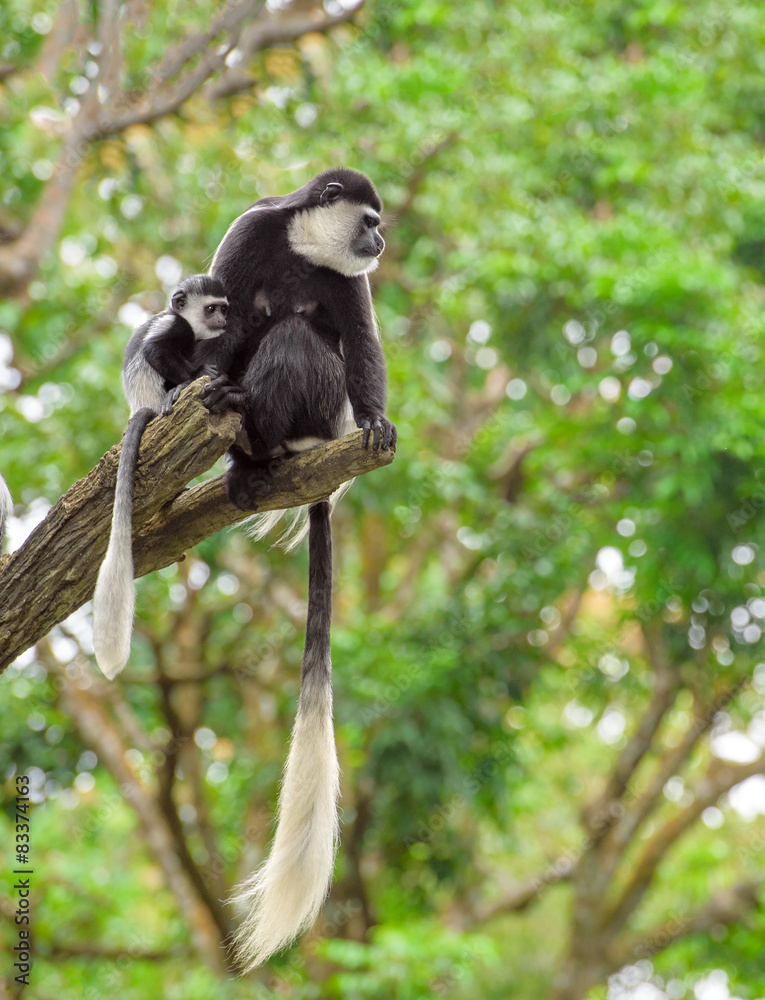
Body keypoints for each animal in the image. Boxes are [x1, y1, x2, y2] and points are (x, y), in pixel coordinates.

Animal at [93, 274, 230, 680]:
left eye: (224, 307)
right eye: (211, 308)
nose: (223, 321)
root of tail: (143, 407)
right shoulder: (176, 327)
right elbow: (156, 352)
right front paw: (202, 376)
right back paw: (179, 390)